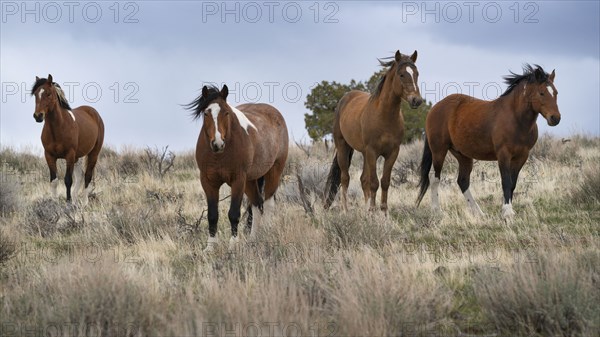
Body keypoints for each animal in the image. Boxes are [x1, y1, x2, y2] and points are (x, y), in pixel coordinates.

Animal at [30, 75, 105, 203]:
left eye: (49, 94)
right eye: (35, 94)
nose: (38, 116)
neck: (59, 128)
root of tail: (94, 113)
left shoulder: (69, 155)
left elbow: (68, 180)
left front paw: (68, 202)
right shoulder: (49, 156)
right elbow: (54, 181)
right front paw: (54, 202)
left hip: (93, 154)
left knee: (87, 176)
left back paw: (84, 202)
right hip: (77, 157)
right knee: (80, 176)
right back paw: (76, 201)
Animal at [188, 84, 290, 252]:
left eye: (226, 112)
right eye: (206, 113)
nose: (217, 143)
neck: (220, 154)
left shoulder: (237, 180)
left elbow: (233, 213)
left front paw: (233, 245)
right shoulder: (208, 182)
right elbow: (212, 215)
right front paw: (210, 247)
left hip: (273, 172)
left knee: (268, 204)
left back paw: (267, 234)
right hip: (250, 181)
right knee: (257, 205)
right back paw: (253, 240)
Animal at [326, 50, 424, 210]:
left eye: (416, 73)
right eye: (401, 74)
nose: (416, 100)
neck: (384, 116)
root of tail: (345, 98)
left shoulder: (392, 153)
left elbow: (384, 182)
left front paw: (383, 212)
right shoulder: (372, 151)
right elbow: (373, 183)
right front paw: (372, 211)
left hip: (364, 153)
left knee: (362, 179)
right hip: (343, 147)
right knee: (345, 178)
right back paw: (345, 210)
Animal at [418, 64, 564, 218]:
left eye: (555, 92)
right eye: (541, 93)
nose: (555, 118)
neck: (516, 119)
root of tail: (435, 108)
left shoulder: (521, 157)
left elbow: (512, 184)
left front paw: (506, 210)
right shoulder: (503, 155)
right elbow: (506, 182)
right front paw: (507, 212)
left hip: (463, 155)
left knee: (462, 181)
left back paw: (479, 213)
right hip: (439, 150)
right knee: (435, 178)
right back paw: (437, 211)